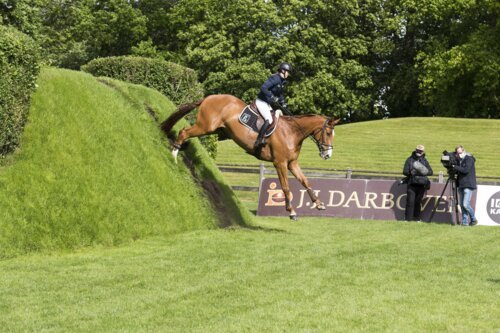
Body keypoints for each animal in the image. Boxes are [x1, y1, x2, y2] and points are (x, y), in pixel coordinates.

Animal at [160, 92, 340, 220]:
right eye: (328, 133)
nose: (328, 154)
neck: (291, 132)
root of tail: (209, 97)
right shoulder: (280, 163)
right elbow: (286, 187)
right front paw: (291, 212)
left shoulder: (292, 163)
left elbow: (305, 181)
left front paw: (319, 204)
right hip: (206, 126)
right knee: (184, 132)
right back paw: (174, 155)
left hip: (214, 129)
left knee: (186, 133)